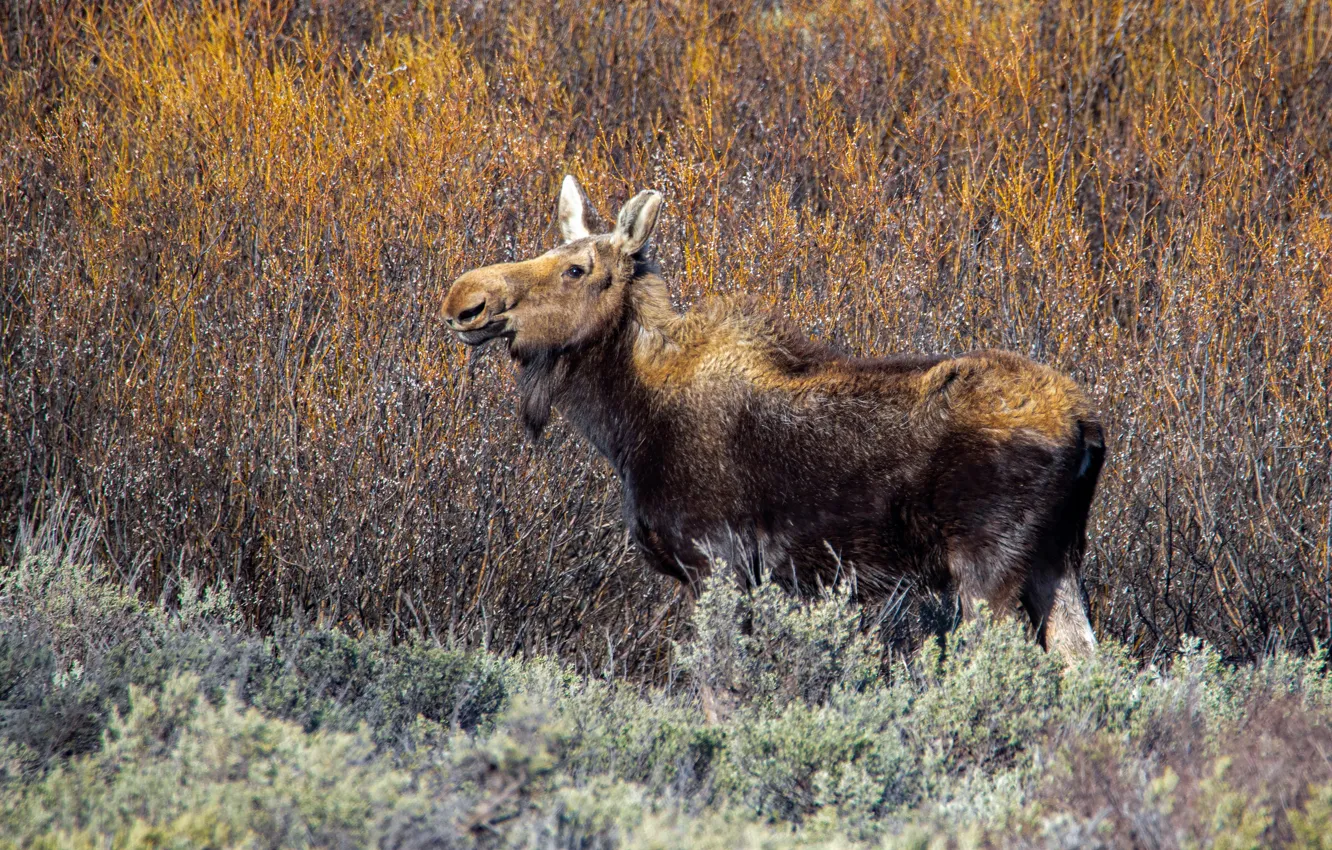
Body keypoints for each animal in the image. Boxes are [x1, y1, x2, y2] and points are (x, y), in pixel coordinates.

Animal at [444, 175, 1105, 668]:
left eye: (576, 269)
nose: (465, 299)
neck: (624, 423)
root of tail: (1088, 427)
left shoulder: (717, 564)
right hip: (1056, 559)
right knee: (1084, 662)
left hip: (988, 566)